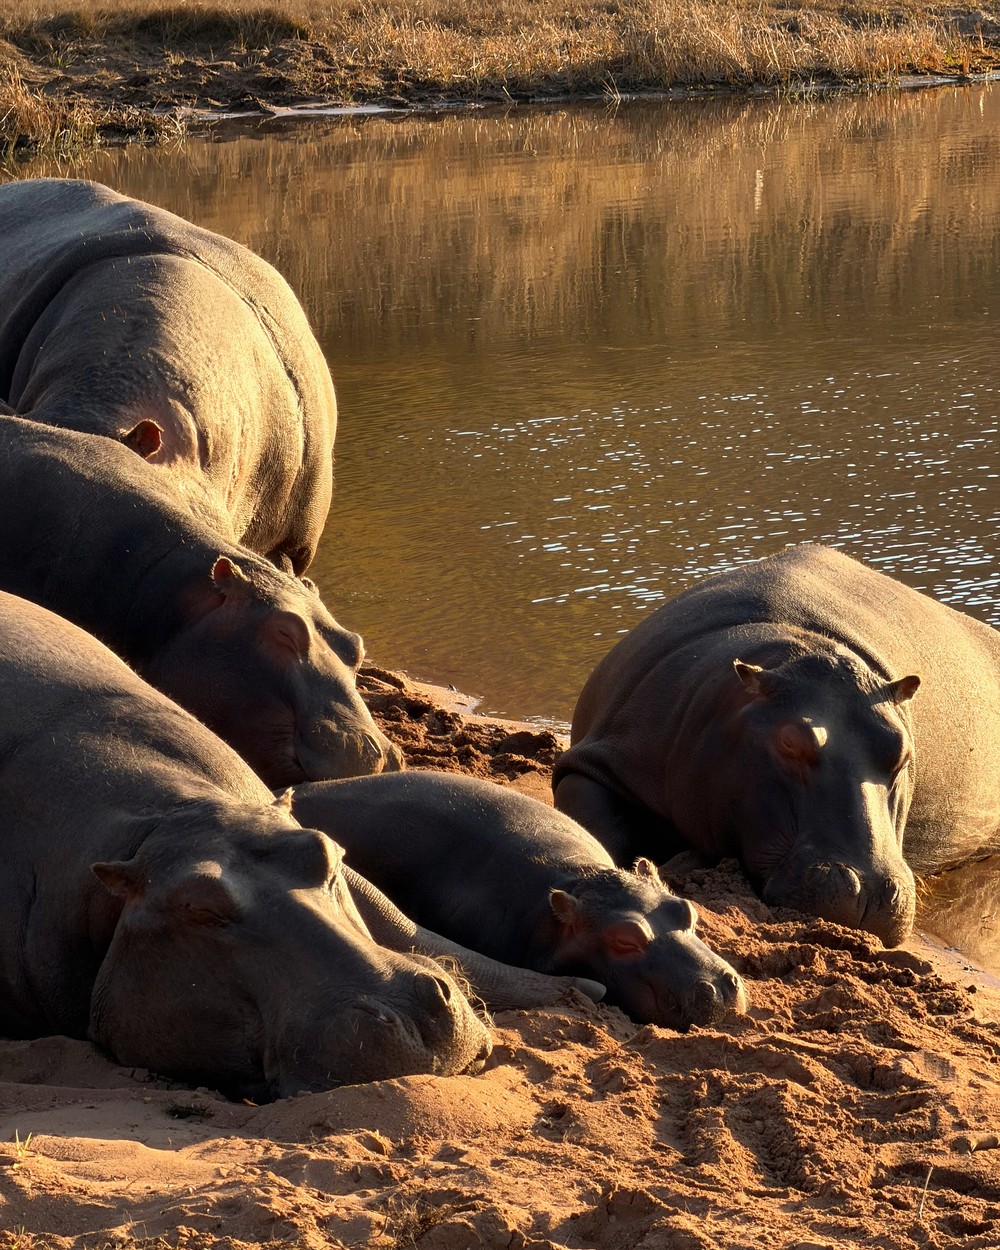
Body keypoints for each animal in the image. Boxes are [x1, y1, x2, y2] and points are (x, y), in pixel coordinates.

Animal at [0, 591, 601, 1098]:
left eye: (326, 853)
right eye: (198, 908)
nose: (413, 1010)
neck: (167, 825)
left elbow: (415, 932)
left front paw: (580, 993)